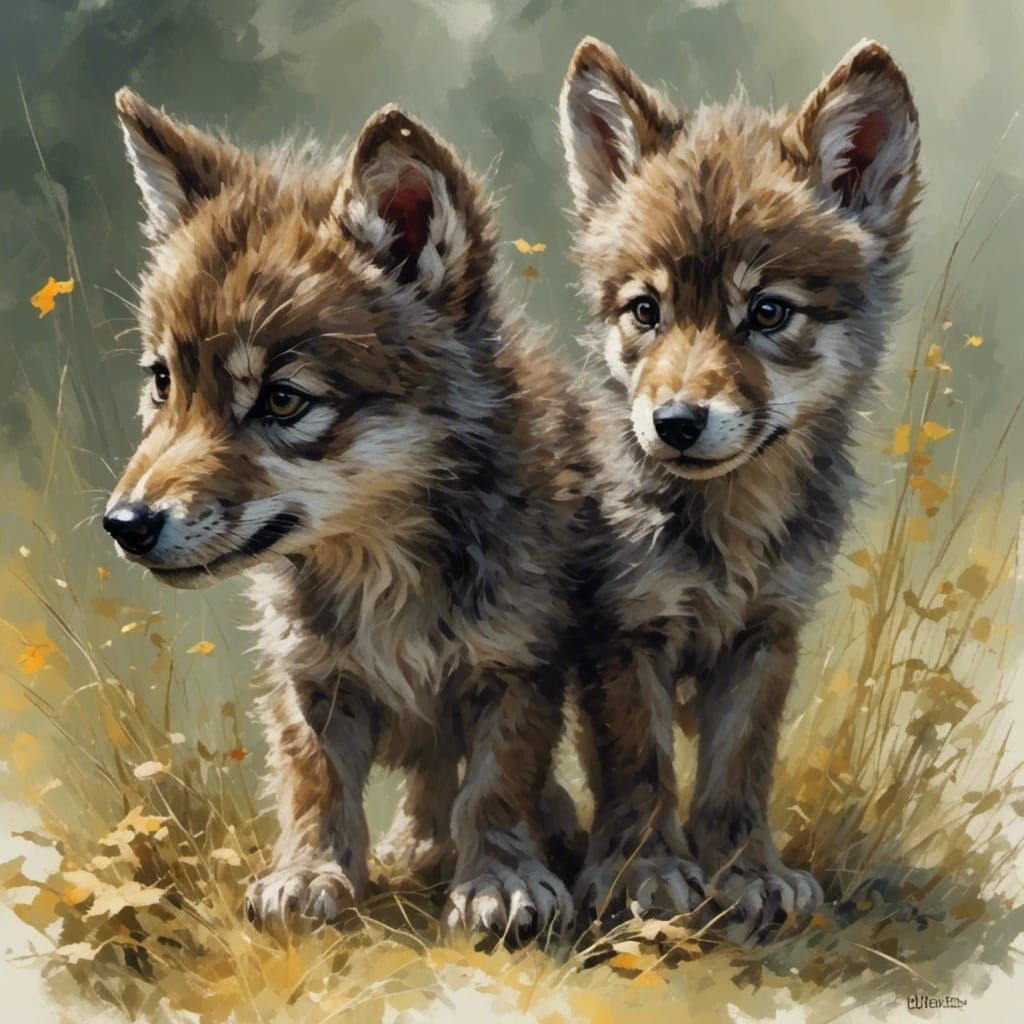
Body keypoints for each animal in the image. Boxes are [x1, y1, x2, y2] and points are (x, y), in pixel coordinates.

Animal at [103, 90, 589, 939]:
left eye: (282, 400)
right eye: (163, 382)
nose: (126, 523)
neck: (381, 570)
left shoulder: (516, 666)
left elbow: (496, 786)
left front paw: (499, 881)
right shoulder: (311, 677)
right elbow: (315, 784)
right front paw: (308, 876)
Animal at [559, 38, 920, 932]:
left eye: (766, 312)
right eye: (645, 311)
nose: (676, 422)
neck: (730, 524)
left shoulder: (767, 635)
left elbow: (737, 774)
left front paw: (747, 873)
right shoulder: (624, 633)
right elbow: (640, 769)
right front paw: (645, 872)